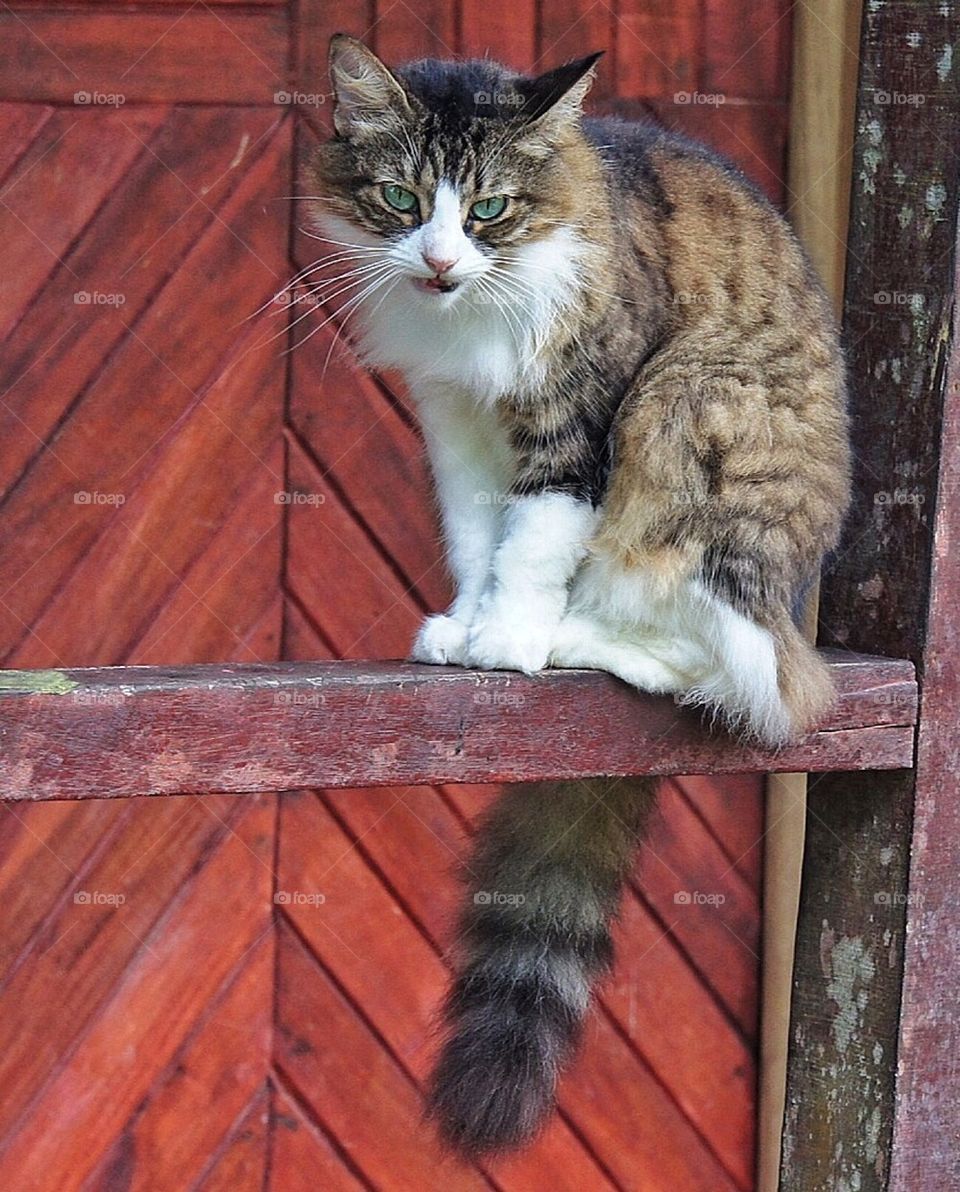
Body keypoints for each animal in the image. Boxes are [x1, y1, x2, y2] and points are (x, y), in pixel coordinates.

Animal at [305, 34, 844, 1153]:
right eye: (400, 198)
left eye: (489, 210)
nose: (438, 262)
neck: (474, 310)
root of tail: (796, 602)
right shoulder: (458, 421)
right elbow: (481, 539)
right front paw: (462, 629)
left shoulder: (580, 413)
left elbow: (536, 540)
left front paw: (508, 639)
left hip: (685, 408)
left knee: (740, 674)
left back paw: (574, 636)